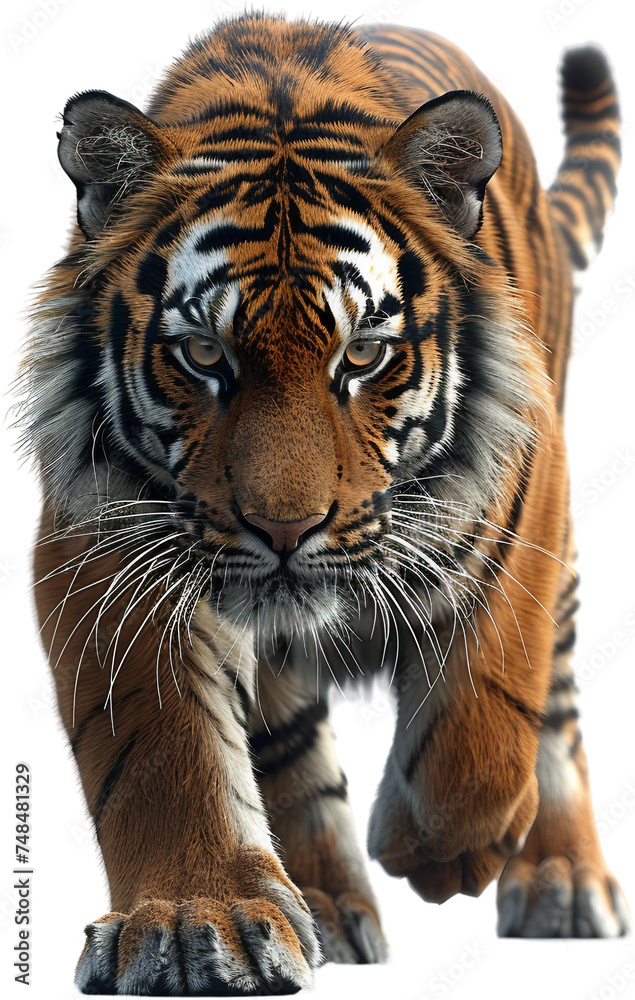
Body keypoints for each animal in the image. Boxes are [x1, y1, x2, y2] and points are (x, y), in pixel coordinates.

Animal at [21, 11, 627, 996]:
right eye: (203, 356)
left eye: (363, 357)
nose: (283, 529)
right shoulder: (105, 542)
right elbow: (162, 752)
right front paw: (198, 922)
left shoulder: (522, 494)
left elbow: (483, 724)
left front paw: (436, 851)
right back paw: (327, 908)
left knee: (555, 702)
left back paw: (559, 880)